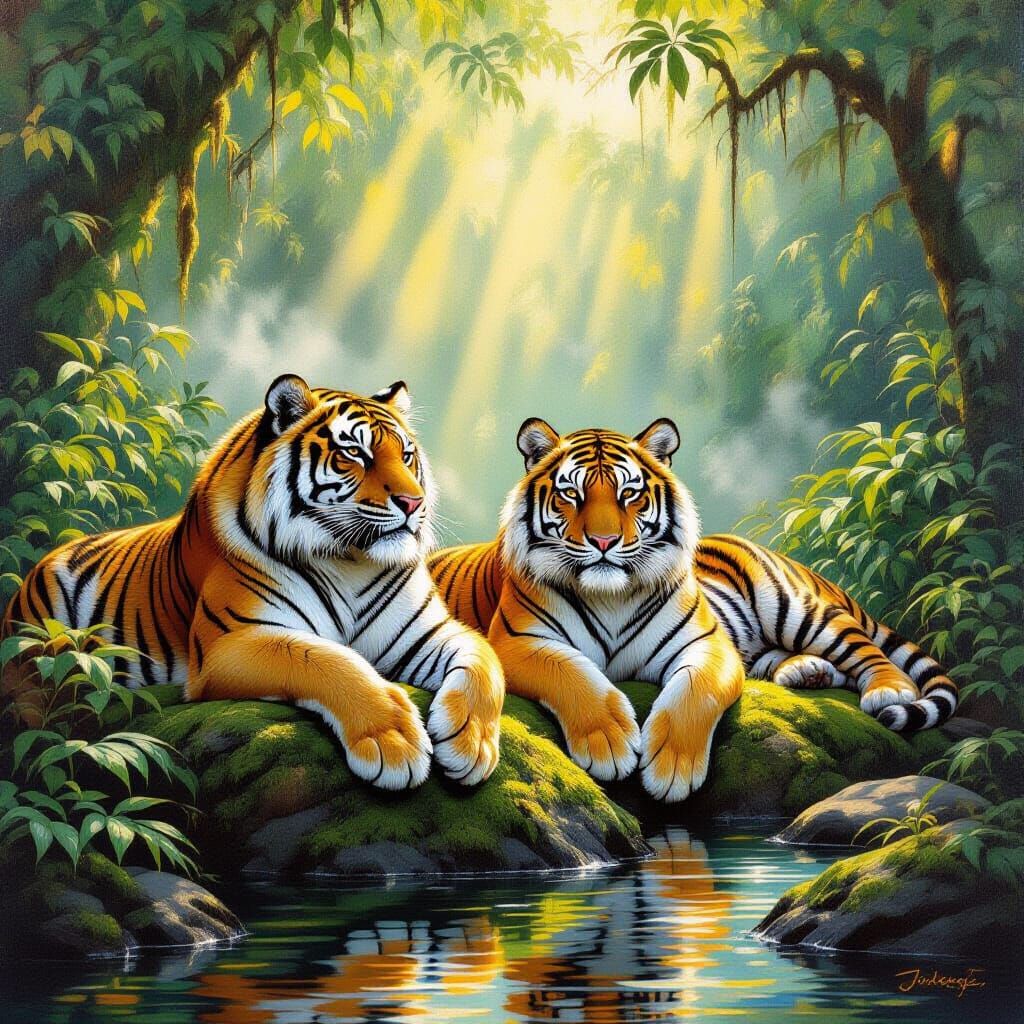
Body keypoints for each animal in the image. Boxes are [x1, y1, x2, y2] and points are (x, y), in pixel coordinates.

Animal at [3, 375, 503, 791]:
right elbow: (329, 660)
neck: (352, 561)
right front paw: (392, 739)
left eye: (407, 456)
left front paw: (472, 743)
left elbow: (485, 664)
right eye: (354, 453)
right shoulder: (232, 642)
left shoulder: (427, 634)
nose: (413, 503)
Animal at [428, 418, 958, 803]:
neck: (609, 595)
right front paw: (609, 741)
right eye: (571, 494)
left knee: (864, 648)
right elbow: (573, 674)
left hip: (795, 608)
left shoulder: (708, 645)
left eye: (629, 493)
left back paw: (885, 690)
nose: (604, 541)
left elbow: (694, 693)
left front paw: (673, 768)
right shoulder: (519, 642)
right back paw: (806, 673)